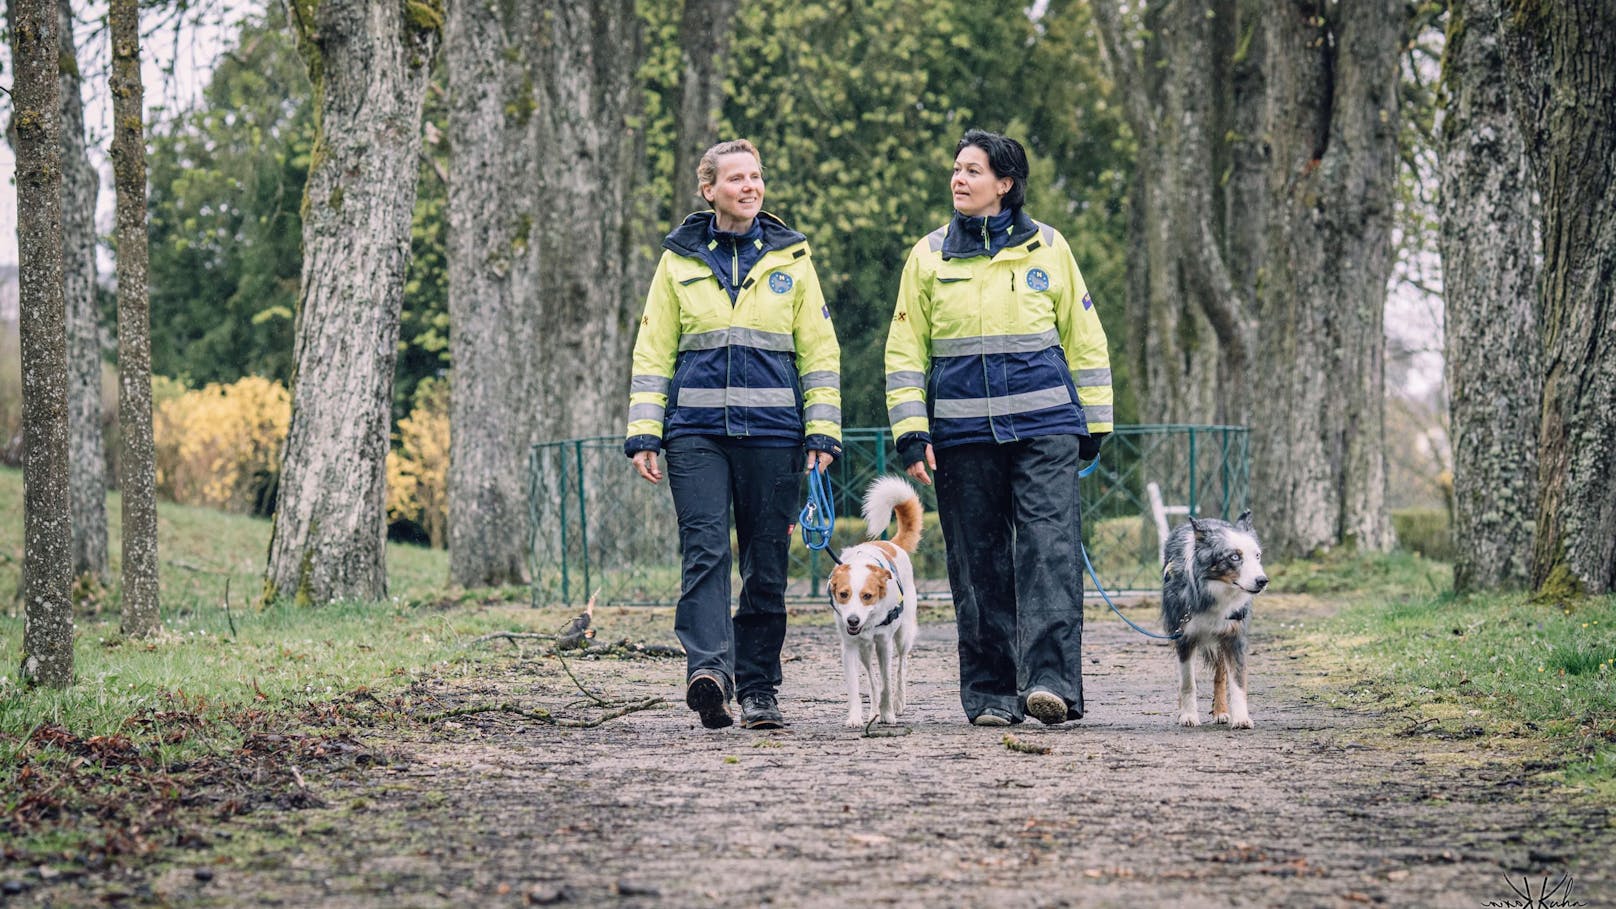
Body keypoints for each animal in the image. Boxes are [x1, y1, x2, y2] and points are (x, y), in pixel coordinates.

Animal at [833, 475, 924, 721]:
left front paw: (888, 713)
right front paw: (855, 718)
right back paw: (874, 709)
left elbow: (886, 682)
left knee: (901, 666)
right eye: (843, 594)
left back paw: (898, 702)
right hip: (865, 650)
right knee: (872, 678)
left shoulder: (884, 643)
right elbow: (857, 686)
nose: (853, 620)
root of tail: (891, 543)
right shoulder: (850, 647)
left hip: (903, 636)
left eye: (867, 596)